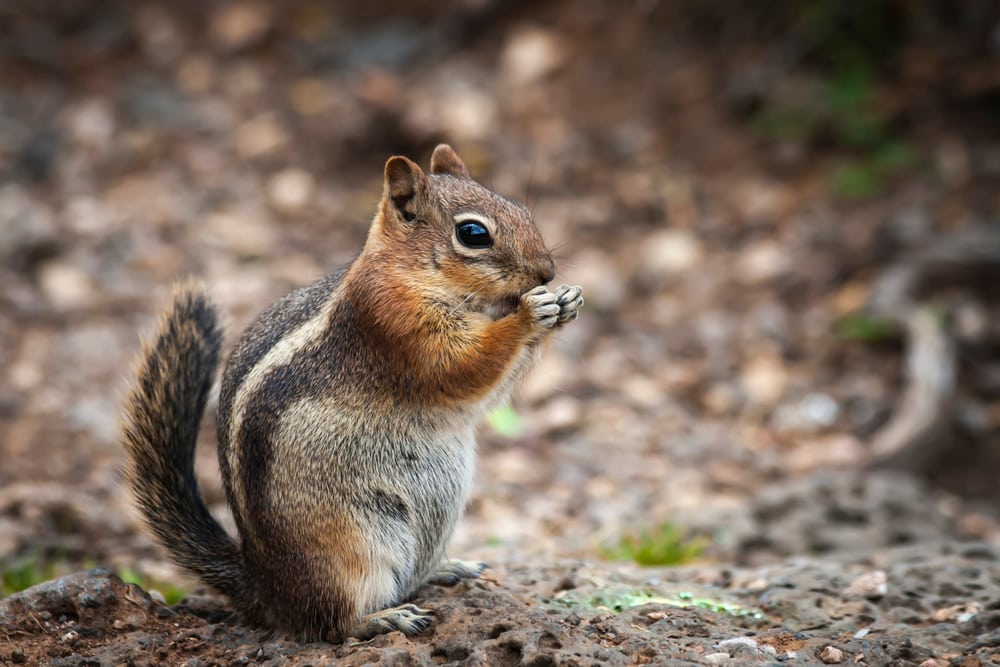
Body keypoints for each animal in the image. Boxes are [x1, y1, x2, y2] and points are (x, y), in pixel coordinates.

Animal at [121, 144, 584, 642]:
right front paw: (531, 314)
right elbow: (463, 367)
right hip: (350, 549)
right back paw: (383, 618)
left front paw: (566, 302)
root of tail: (265, 588)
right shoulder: (394, 321)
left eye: (523, 211)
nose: (547, 271)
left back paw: (446, 569)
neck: (405, 270)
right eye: (473, 233)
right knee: (330, 622)